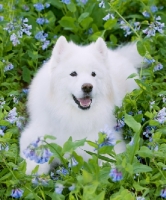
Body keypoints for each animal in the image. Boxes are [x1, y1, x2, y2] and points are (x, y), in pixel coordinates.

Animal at [19, 36, 141, 175]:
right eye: (73, 73)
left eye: (93, 74)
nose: (87, 86)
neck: (76, 117)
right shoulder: (34, 135)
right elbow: (36, 158)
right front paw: (33, 173)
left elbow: (110, 161)